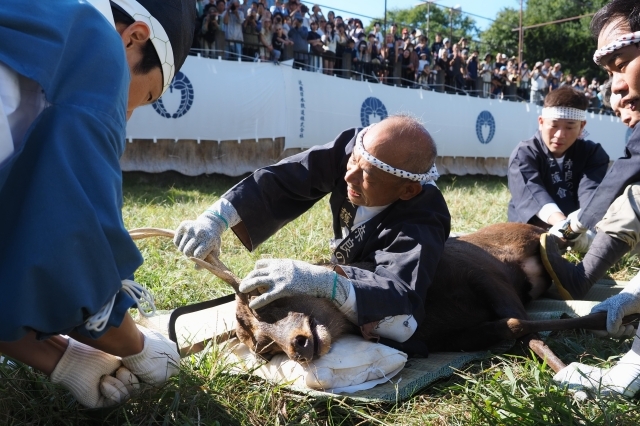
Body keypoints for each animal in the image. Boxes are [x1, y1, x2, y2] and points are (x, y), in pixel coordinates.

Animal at [130, 223, 640, 372]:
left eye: (267, 300)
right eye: (262, 347)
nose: (297, 346)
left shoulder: (483, 274)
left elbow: (519, 324)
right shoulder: (451, 335)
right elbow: (513, 328)